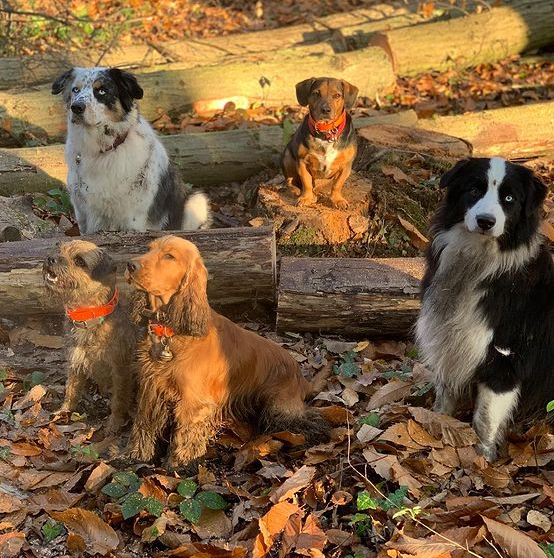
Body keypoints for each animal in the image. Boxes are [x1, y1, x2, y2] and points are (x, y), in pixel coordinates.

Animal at [280, 77, 358, 210]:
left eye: (337, 95)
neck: (325, 132)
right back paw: (297, 191)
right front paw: (306, 197)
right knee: (290, 181)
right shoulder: (302, 162)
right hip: (287, 156)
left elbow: (337, 184)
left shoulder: (346, 166)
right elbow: (306, 182)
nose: (325, 110)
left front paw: (338, 200)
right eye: (316, 93)